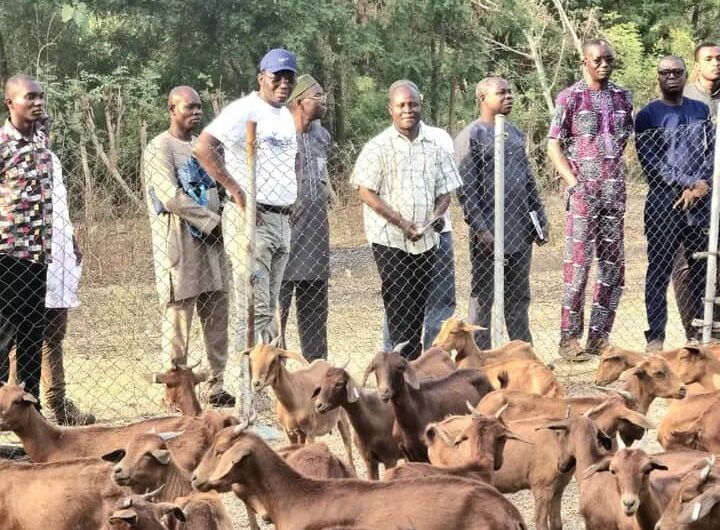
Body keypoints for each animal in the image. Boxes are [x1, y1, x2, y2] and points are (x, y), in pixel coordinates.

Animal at [245, 340, 354, 468]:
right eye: (251, 358)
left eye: (273, 359)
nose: (256, 383)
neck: (292, 405)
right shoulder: (289, 432)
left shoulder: (310, 432)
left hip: (342, 418)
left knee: (347, 442)